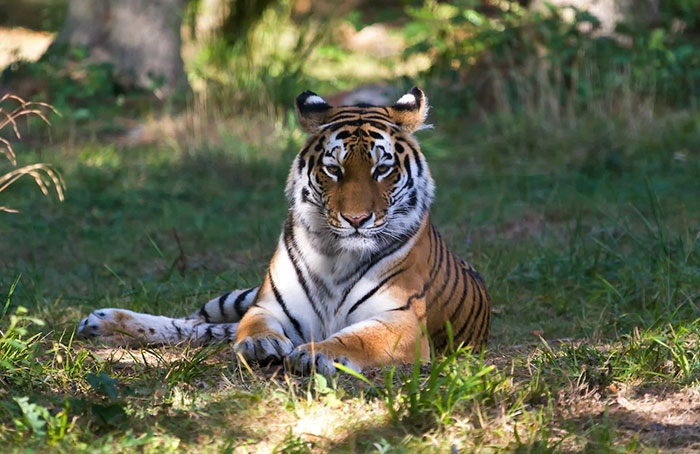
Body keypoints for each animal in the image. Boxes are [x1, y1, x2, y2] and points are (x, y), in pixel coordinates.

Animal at [76, 87, 490, 374]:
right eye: (334, 169)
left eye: (382, 169)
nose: (356, 219)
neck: (336, 256)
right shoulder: (268, 305)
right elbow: (253, 327)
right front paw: (262, 346)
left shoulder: (401, 320)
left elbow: (357, 338)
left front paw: (318, 353)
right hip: (236, 300)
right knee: (196, 323)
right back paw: (99, 321)